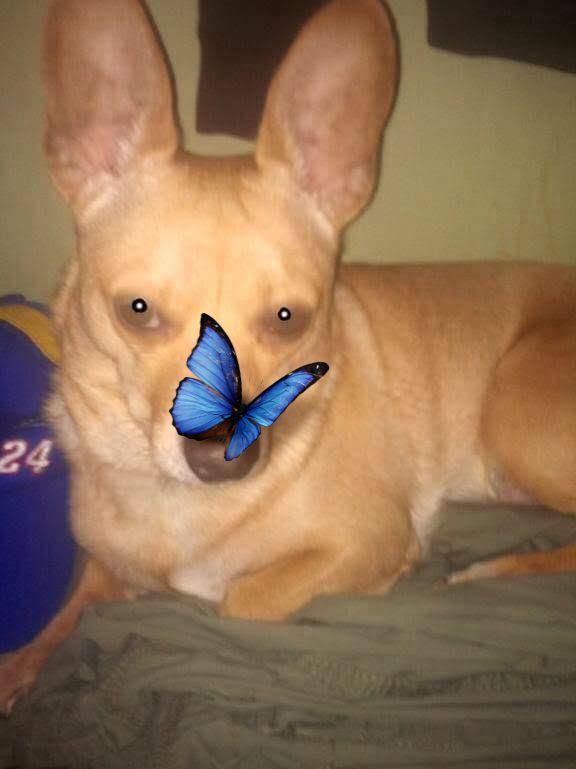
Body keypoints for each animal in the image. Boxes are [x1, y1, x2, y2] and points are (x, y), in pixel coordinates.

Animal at [1, 0, 575, 716]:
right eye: (136, 309)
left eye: (288, 318)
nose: (223, 460)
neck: (177, 506)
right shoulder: (108, 563)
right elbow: (71, 609)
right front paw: (22, 665)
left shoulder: (367, 539)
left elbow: (235, 599)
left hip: (514, 413)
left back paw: (494, 568)